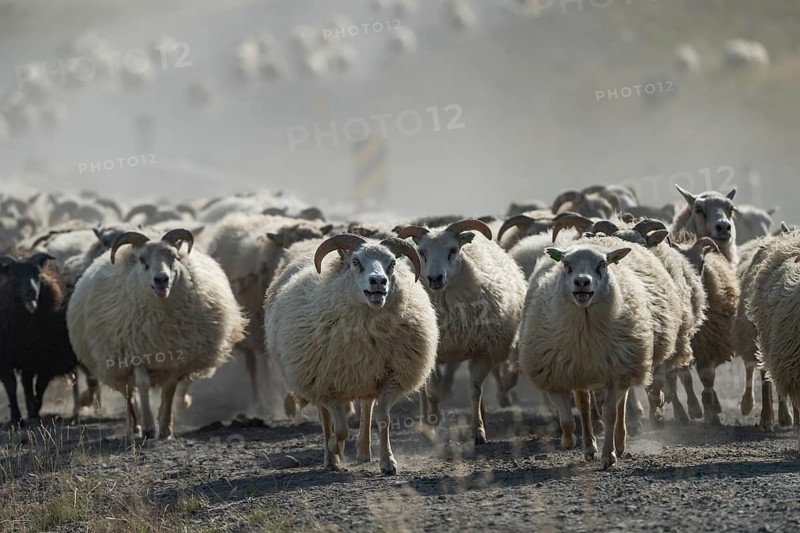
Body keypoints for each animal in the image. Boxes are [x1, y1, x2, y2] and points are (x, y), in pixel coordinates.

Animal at [0, 252, 97, 426]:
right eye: (14, 275)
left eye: (38, 274)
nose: (31, 292)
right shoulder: (6, 358)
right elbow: (11, 386)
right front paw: (16, 418)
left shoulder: (45, 358)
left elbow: (39, 386)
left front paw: (35, 410)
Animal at [67, 229, 247, 438]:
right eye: (142, 259)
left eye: (175, 257)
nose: (161, 279)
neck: (160, 315)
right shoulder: (135, 354)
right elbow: (143, 386)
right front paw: (148, 427)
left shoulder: (175, 358)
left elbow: (169, 390)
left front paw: (165, 427)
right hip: (117, 364)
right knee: (129, 393)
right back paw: (135, 425)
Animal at [265, 234, 437, 474]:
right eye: (356, 262)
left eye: (392, 263)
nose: (378, 281)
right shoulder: (325, 385)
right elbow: (341, 428)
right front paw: (334, 448)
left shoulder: (391, 377)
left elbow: (383, 418)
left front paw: (388, 462)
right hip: (316, 379)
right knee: (325, 418)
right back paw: (331, 458)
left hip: (367, 377)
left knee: (367, 408)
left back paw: (364, 451)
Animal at [396, 219, 527, 443]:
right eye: (421, 252)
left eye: (453, 250)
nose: (435, 278)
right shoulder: (433, 352)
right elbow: (433, 393)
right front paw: (433, 422)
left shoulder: (483, 350)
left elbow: (475, 391)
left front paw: (478, 431)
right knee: (423, 390)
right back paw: (426, 421)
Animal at [518, 240, 654, 470]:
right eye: (566, 263)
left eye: (603, 263)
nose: (582, 281)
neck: (585, 326)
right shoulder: (553, 376)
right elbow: (567, 419)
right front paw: (568, 441)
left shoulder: (616, 374)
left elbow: (611, 414)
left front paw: (609, 455)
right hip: (579, 372)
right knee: (583, 407)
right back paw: (589, 447)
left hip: (624, 366)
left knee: (620, 406)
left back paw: (620, 443)